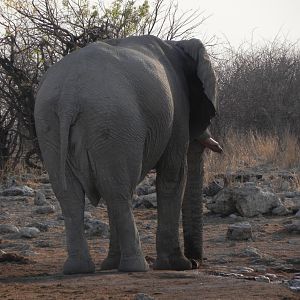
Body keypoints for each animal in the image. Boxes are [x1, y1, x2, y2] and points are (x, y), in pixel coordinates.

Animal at [34, 34, 216, 274]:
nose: (196, 262)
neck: (178, 43)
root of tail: (68, 97)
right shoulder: (178, 113)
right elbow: (173, 176)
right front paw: (177, 265)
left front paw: (111, 264)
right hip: (113, 121)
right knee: (117, 192)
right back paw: (137, 267)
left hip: (50, 125)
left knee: (73, 195)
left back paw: (78, 269)